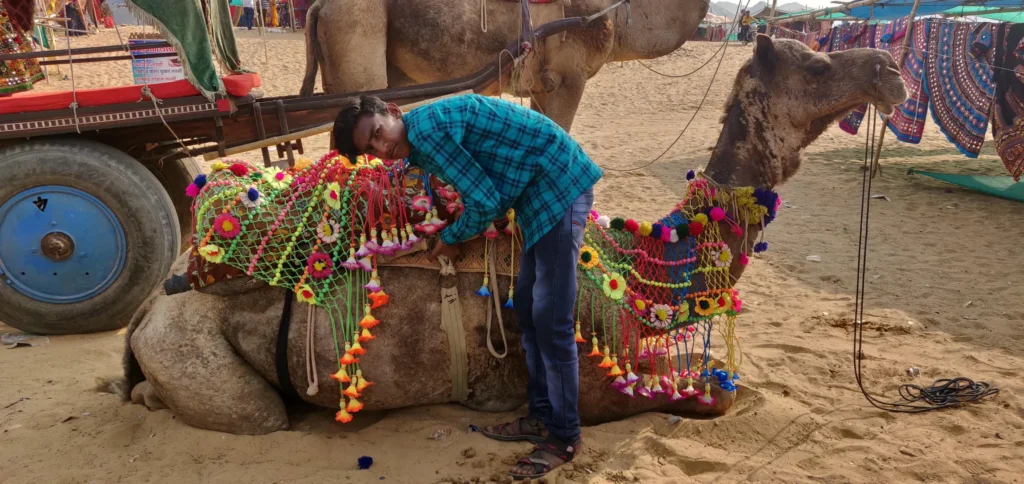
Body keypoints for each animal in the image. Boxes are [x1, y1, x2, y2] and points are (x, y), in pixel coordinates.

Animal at [116, 35, 909, 431]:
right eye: (816, 62)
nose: (890, 68)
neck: (642, 266)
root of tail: (151, 309)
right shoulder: (596, 382)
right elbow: (718, 391)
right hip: (204, 362)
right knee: (255, 415)